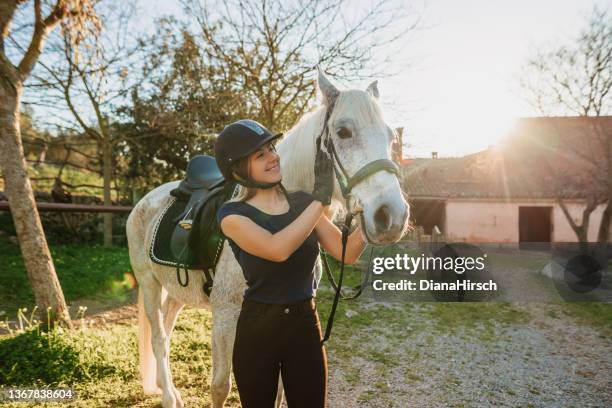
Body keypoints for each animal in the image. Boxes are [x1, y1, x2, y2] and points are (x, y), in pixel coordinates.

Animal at [125, 68, 412, 406]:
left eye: (391, 137)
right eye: (343, 132)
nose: (391, 215)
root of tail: (144, 201)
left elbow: (277, 391)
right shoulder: (225, 316)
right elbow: (220, 386)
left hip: (175, 290)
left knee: (167, 328)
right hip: (148, 283)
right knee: (158, 337)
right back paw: (169, 397)